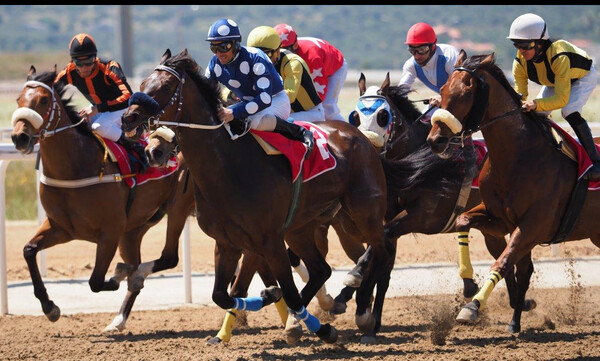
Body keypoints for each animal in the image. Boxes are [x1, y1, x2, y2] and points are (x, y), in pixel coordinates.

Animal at [10, 65, 195, 332]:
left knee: (169, 257)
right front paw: (49, 307)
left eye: (44, 100)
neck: (75, 167)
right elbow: (29, 250)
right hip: (133, 231)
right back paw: (118, 320)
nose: (20, 138)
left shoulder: (110, 232)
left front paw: (119, 275)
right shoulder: (61, 228)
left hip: (178, 206)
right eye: (18, 99)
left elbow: (96, 280)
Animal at [120, 48, 404, 344]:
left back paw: (363, 314)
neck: (228, 165)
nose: (128, 118)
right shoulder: (228, 242)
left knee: (382, 252)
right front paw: (272, 304)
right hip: (302, 228)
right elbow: (225, 294)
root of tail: (362, 137)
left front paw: (319, 327)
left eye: (165, 87)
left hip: (363, 212)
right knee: (322, 269)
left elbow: (278, 290)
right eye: (142, 84)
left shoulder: (268, 240)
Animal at [426, 50, 600, 332]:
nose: (435, 140)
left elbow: (504, 262)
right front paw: (469, 284)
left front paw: (472, 307)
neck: (517, 156)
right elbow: (463, 221)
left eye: (467, 91)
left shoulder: (533, 226)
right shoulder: (501, 220)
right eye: (442, 89)